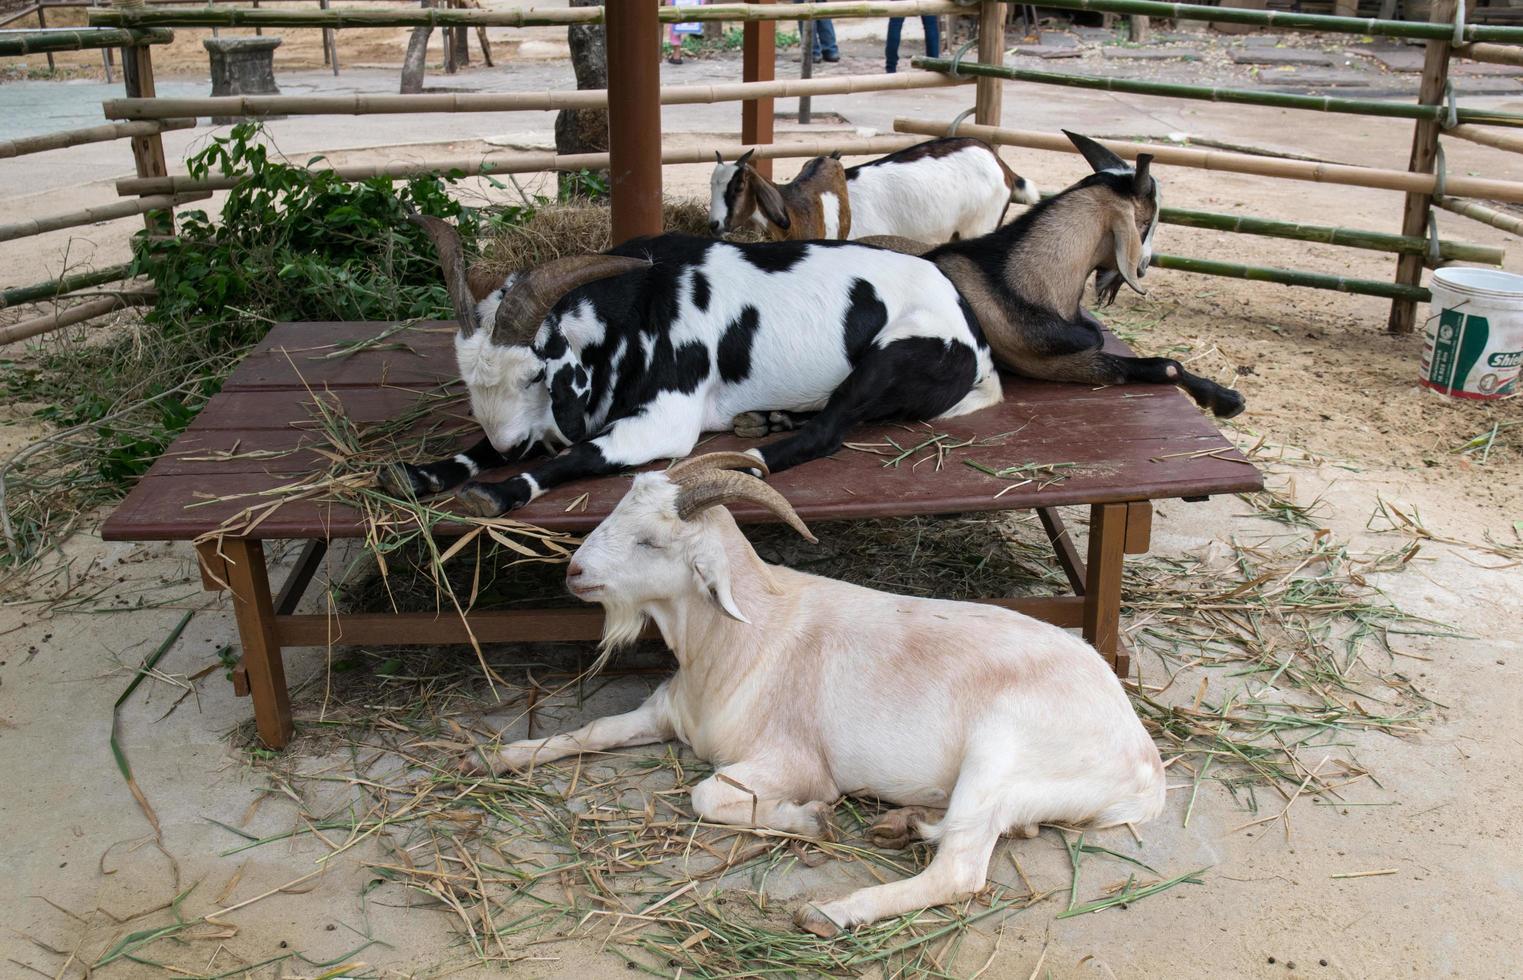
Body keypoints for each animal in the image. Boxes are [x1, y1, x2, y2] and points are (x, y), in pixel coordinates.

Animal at [383, 219, 999, 518]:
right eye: (469, 379)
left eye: (535, 375)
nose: (510, 448)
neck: (637, 311)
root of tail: (974, 337)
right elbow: (482, 447)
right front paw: (419, 474)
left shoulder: (665, 420)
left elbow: (581, 454)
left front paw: (500, 492)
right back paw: (767, 419)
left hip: (893, 354)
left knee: (830, 429)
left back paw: (754, 459)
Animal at [462, 457, 1163, 938]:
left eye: (651, 542)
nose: (574, 572)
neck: (745, 637)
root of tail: (1144, 763)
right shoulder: (667, 712)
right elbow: (593, 732)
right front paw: (497, 756)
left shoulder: (795, 761)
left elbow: (707, 795)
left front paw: (810, 821)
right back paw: (901, 825)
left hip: (998, 757)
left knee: (959, 871)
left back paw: (831, 911)